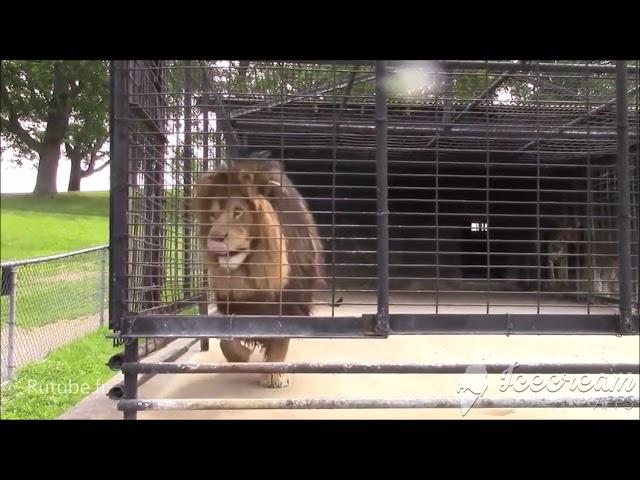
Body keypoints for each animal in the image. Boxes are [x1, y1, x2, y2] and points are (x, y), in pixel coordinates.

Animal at [190, 152, 324, 388]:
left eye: (238, 212)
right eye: (213, 216)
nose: (214, 238)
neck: (254, 271)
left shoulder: (289, 302)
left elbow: (281, 341)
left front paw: (275, 374)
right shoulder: (234, 305)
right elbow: (227, 342)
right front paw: (244, 356)